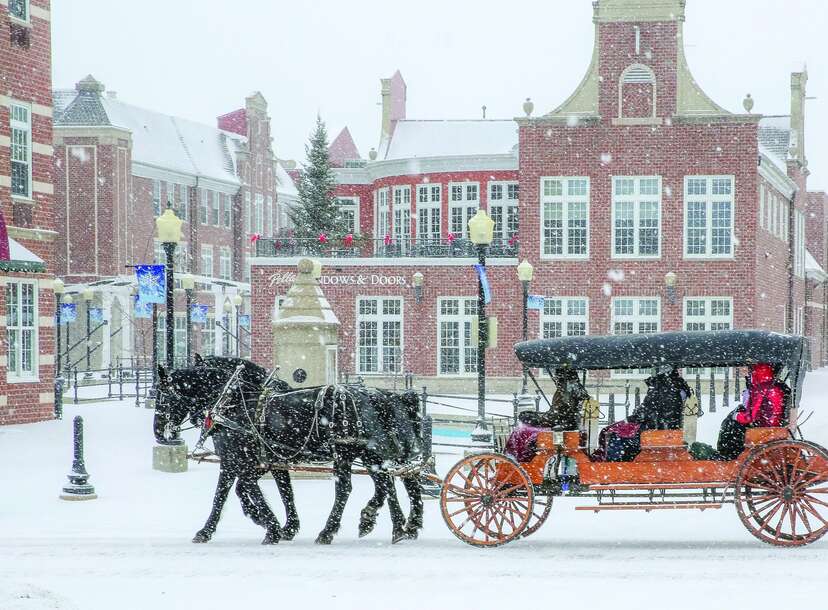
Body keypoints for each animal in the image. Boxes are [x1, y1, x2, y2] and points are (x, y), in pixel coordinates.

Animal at [154, 356, 426, 540]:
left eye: (161, 396)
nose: (159, 432)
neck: (235, 402)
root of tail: (386, 396)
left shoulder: (237, 460)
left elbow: (232, 492)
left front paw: (266, 524)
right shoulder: (266, 461)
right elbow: (279, 491)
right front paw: (284, 526)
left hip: (352, 452)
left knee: (358, 487)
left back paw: (338, 529)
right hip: (368, 453)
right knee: (395, 481)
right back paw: (399, 525)